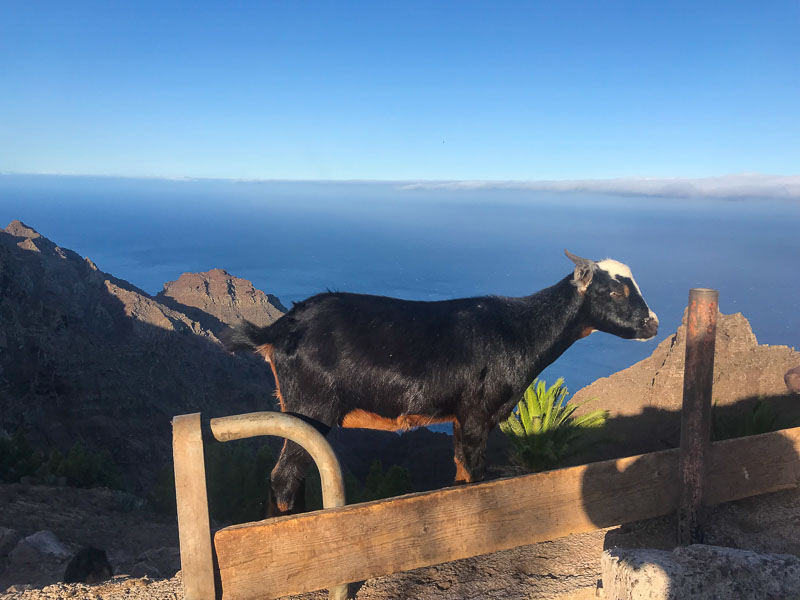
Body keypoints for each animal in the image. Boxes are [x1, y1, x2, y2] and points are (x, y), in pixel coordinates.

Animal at [225, 251, 656, 512]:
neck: (519, 330)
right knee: (284, 477)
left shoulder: (459, 416)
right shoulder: (479, 412)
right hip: (311, 407)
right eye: (615, 291)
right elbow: (475, 473)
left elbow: (461, 470)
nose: (652, 323)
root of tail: (281, 328)